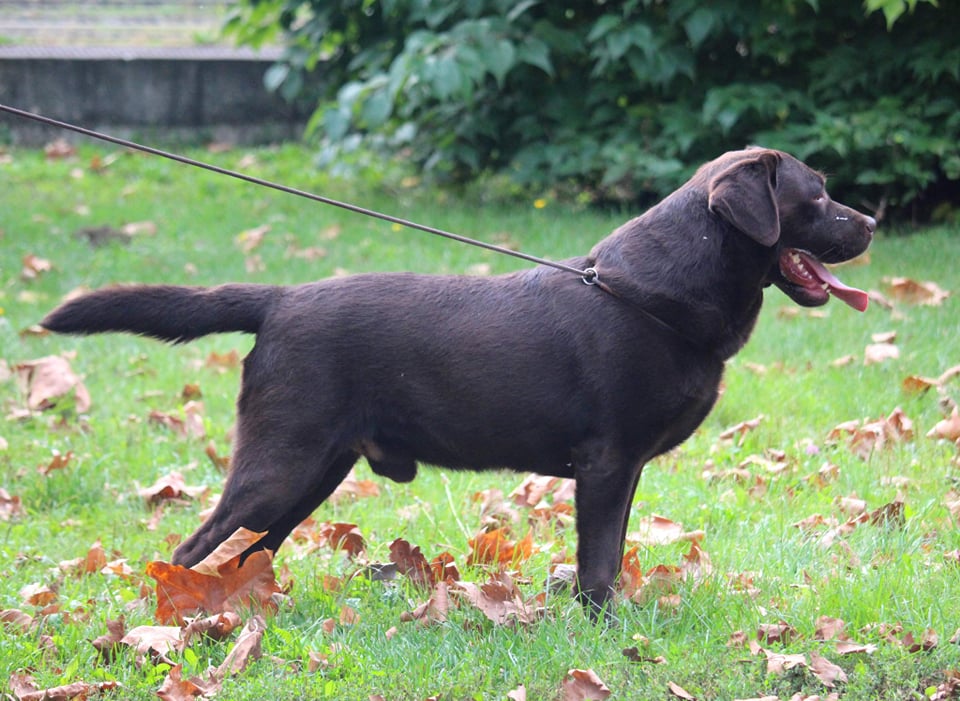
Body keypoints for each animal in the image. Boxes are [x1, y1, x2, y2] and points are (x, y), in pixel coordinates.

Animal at [41, 146, 872, 612]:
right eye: (817, 195)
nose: (871, 222)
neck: (649, 294)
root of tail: (278, 297)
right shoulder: (605, 463)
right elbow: (597, 563)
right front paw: (604, 631)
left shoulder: (626, 468)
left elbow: (607, 555)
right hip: (281, 462)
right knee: (194, 546)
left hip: (312, 469)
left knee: (246, 550)